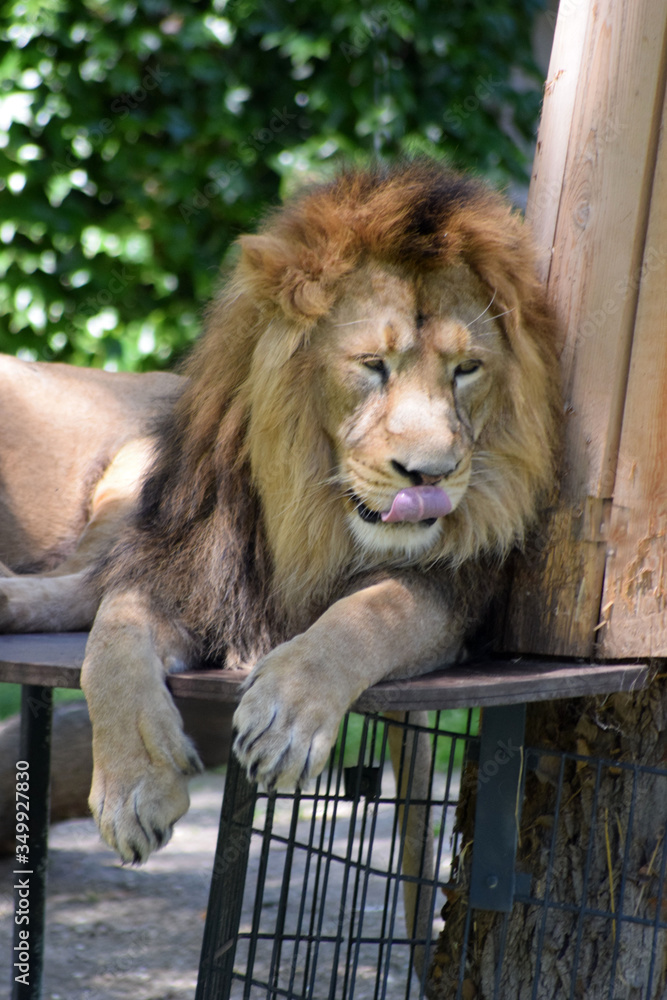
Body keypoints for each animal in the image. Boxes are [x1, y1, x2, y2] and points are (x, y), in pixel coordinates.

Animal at [1, 161, 560, 873]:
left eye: (467, 369)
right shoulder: (181, 565)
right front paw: (132, 789)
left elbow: (369, 612)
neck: (314, 522)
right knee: (82, 584)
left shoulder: (457, 594)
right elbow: (111, 642)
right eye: (373, 366)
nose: (432, 475)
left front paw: (286, 715)